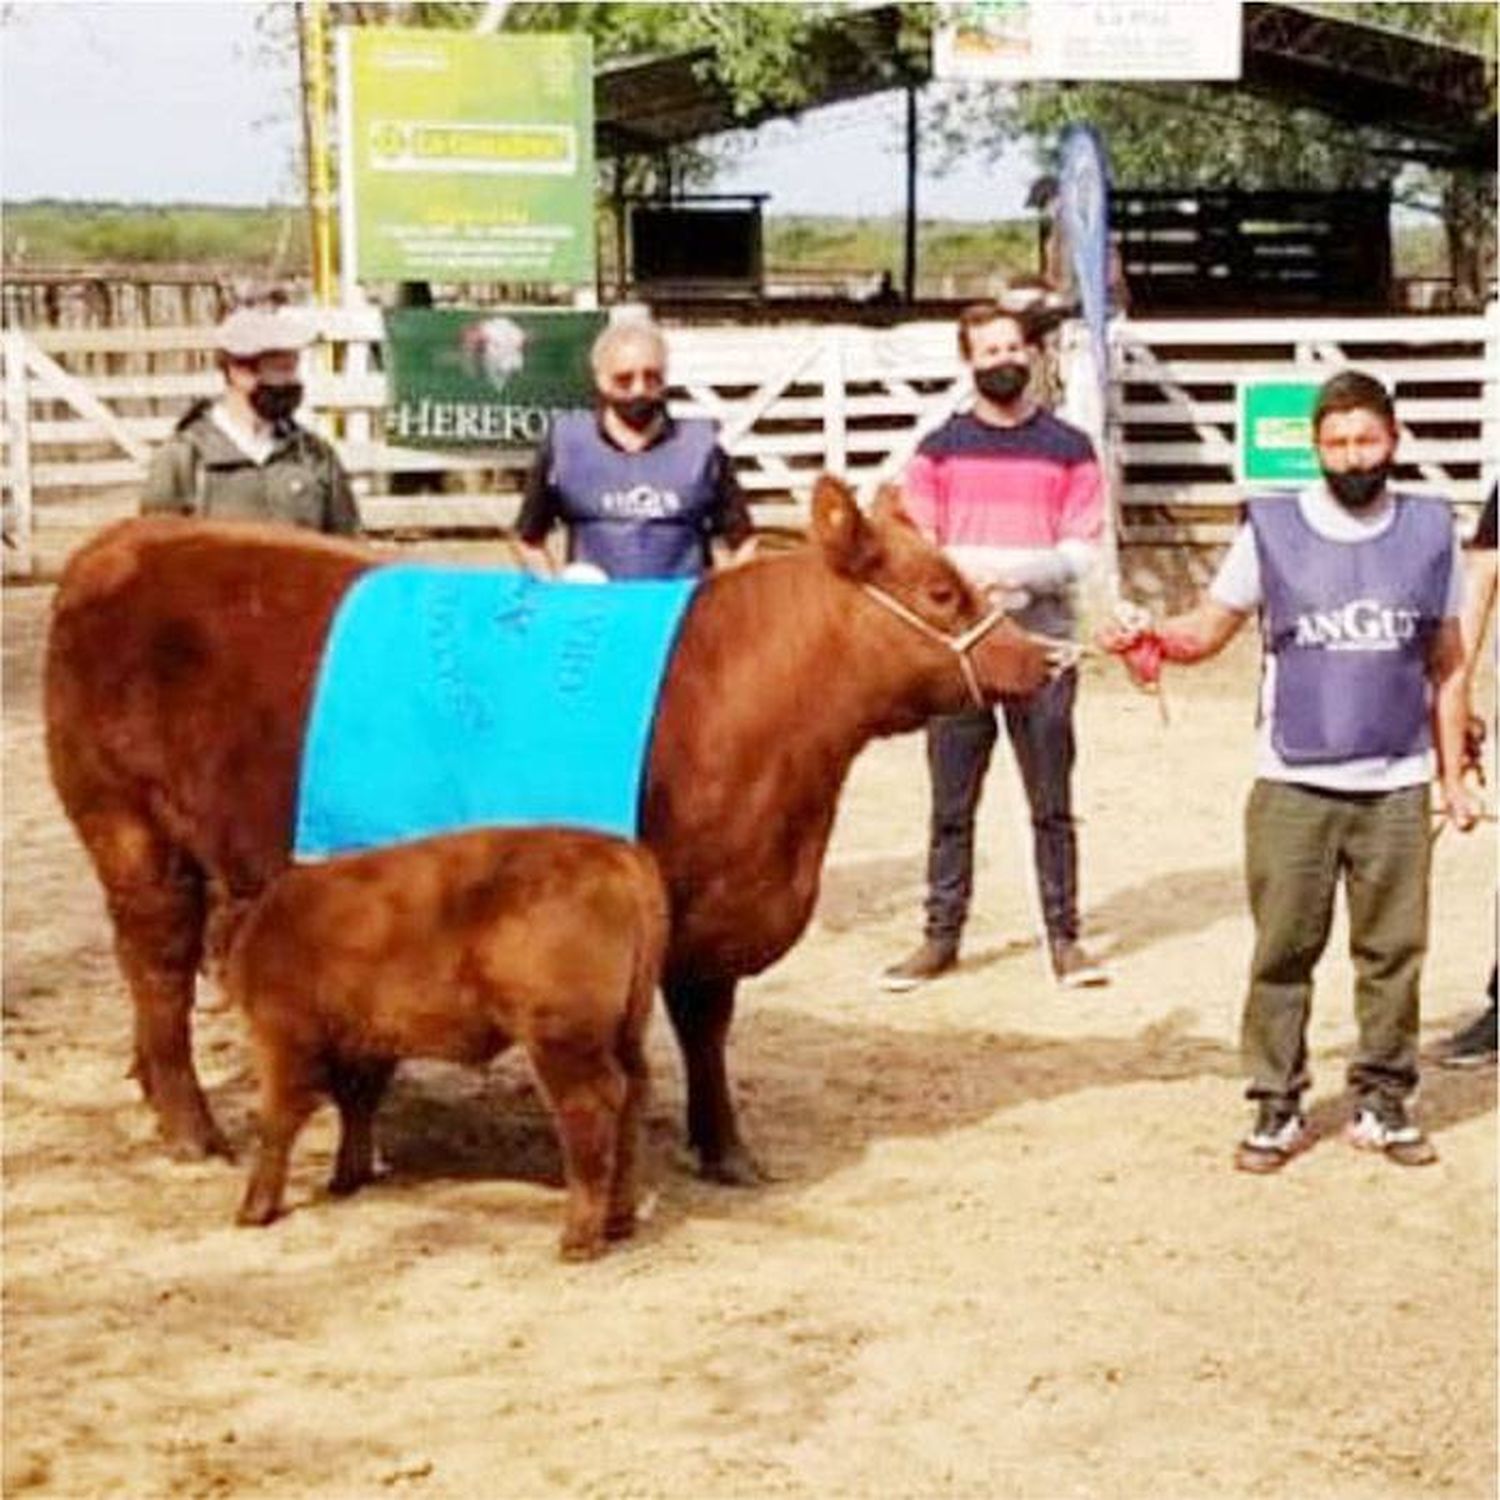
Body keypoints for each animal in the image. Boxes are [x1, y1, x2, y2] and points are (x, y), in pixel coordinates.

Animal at [46, 474, 1056, 1176]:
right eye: (940, 593)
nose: (1043, 659)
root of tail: (126, 539)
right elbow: (680, 1029)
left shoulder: (713, 915)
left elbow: (706, 1032)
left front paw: (723, 1147)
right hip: (131, 832)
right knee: (157, 970)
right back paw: (189, 1128)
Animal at [225, 828, 666, 1260]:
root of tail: (615, 852)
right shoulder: (366, 1047)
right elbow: (357, 1107)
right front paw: (347, 1178)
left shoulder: (282, 1038)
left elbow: (276, 1120)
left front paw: (255, 1209)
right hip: (625, 1034)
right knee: (633, 1096)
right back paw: (618, 1221)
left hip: (563, 1042)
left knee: (589, 1107)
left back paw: (578, 1239)